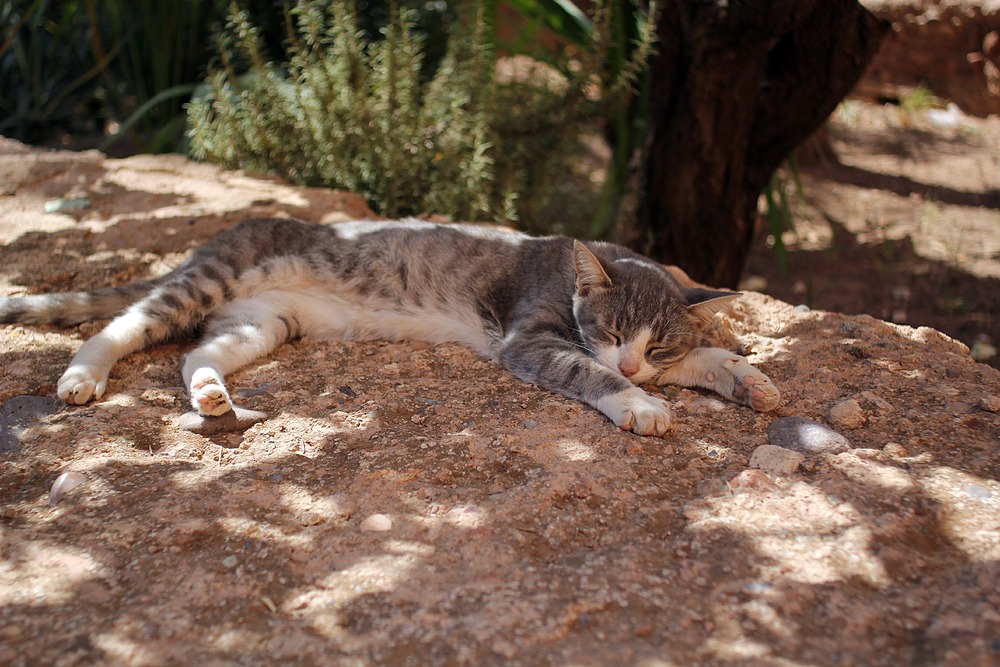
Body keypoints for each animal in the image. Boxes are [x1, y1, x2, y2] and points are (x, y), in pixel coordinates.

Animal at [0, 219, 780, 438]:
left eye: (658, 339)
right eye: (612, 326)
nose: (632, 366)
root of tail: (220, 235)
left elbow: (704, 357)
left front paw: (748, 378)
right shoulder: (528, 338)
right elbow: (582, 368)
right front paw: (640, 404)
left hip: (263, 325)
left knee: (192, 356)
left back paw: (214, 396)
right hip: (209, 282)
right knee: (125, 324)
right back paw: (80, 376)